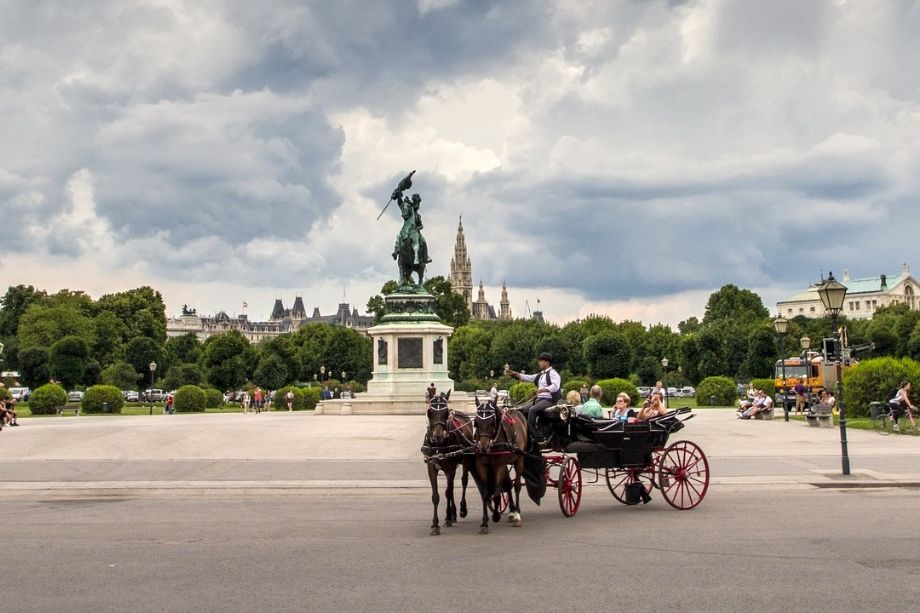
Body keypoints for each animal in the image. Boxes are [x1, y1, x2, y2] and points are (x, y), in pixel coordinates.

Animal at [420, 390, 470, 532]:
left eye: (446, 412)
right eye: (430, 412)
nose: (438, 436)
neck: (438, 445)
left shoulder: (451, 467)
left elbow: (447, 492)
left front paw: (447, 518)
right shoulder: (431, 467)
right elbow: (436, 496)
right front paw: (435, 524)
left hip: (465, 461)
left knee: (463, 482)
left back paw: (461, 510)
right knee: (451, 487)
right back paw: (453, 514)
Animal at [470, 400, 528, 532]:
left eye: (492, 422)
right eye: (476, 422)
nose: (483, 447)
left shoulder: (499, 465)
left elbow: (496, 494)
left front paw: (496, 516)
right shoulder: (482, 466)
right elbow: (486, 494)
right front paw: (484, 523)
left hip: (519, 459)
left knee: (517, 485)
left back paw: (517, 514)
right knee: (508, 484)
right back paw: (512, 511)